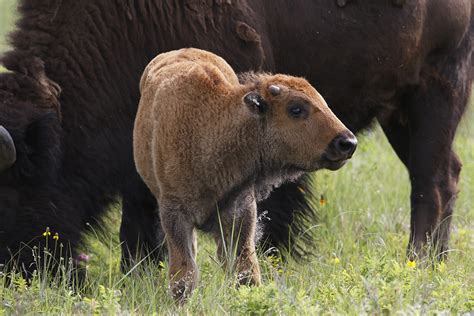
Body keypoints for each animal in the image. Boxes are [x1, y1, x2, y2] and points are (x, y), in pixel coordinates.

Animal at [0, 0, 472, 274]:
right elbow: (142, 211)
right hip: (400, 115)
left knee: (431, 183)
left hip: (436, 91)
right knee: (446, 174)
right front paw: (141, 272)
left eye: (15, 187)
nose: (19, 271)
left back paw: (419, 263)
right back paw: (433, 262)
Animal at [133, 48, 356, 302]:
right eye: (296, 109)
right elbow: (184, 275)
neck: (209, 124)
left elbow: (245, 269)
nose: (347, 143)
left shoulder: (241, 210)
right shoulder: (174, 213)